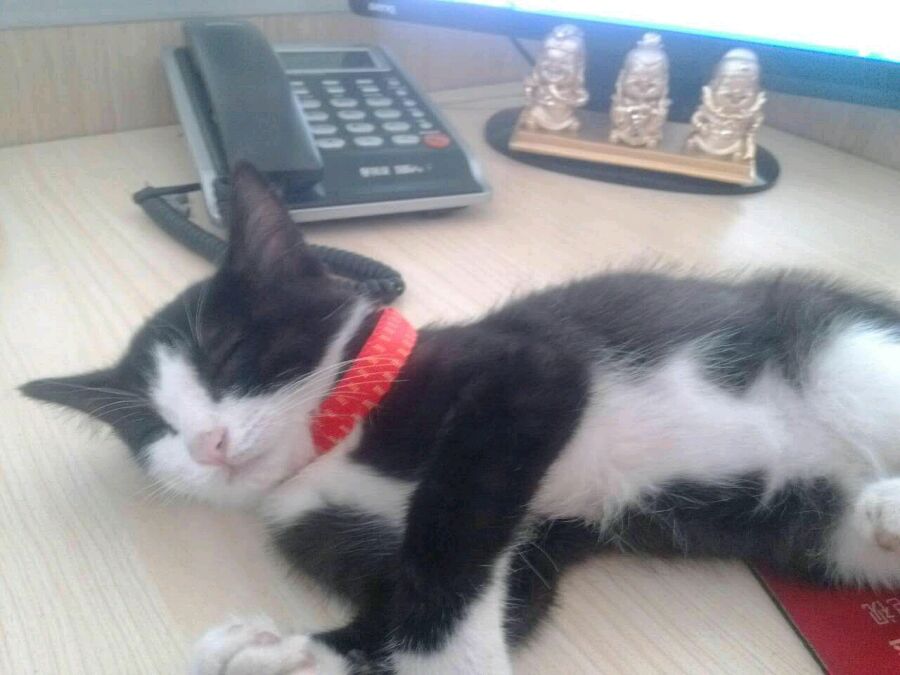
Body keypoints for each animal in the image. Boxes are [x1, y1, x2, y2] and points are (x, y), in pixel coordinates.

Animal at [22, 163, 900, 675]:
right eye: (157, 431)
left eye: (230, 353)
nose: (206, 442)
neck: (335, 444)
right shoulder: (530, 545)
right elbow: (494, 598)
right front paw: (281, 652)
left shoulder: (525, 369)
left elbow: (451, 521)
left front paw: (447, 658)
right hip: (811, 531)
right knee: (852, 536)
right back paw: (884, 513)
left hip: (843, 351)